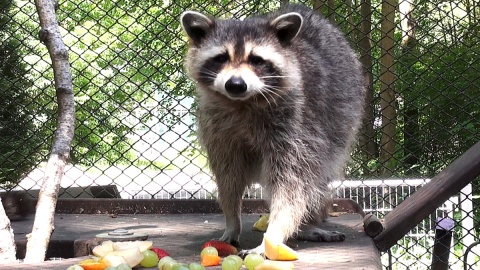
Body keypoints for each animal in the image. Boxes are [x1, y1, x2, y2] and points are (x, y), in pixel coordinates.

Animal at [179, 3, 364, 254]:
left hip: (339, 120)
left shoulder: (297, 127)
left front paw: (272, 236)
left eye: (256, 60)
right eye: (221, 58)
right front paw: (232, 221)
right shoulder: (218, 129)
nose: (235, 84)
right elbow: (228, 177)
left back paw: (307, 225)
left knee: (315, 180)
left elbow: (292, 186)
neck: (243, 103)